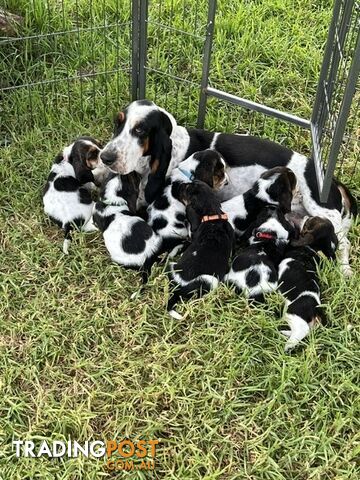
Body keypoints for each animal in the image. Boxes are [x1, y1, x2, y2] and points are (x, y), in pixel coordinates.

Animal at [99, 99, 358, 276]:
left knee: (343, 241)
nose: (106, 157)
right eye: (117, 123)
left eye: (140, 130)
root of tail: (332, 181)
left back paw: (345, 271)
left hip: (319, 209)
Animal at [166, 180, 233, 318]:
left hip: (173, 265)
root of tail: (179, 288)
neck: (213, 216)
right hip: (210, 280)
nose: (177, 183)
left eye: (186, 187)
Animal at [278, 216, 338, 350]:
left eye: (308, 223)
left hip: (292, 312)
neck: (312, 248)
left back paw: (288, 345)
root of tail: (316, 308)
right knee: (307, 331)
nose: (305, 216)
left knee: (302, 330)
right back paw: (286, 333)